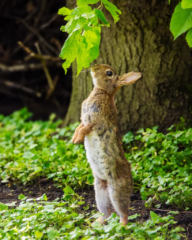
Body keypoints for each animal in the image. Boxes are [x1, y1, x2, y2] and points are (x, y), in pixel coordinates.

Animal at [71, 63, 142, 225]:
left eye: (109, 73)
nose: (93, 67)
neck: (103, 93)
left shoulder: (94, 121)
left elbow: (84, 128)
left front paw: (77, 140)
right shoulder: (84, 119)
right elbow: (79, 127)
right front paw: (74, 139)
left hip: (116, 191)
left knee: (123, 212)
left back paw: (122, 226)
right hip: (99, 189)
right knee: (107, 212)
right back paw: (96, 223)